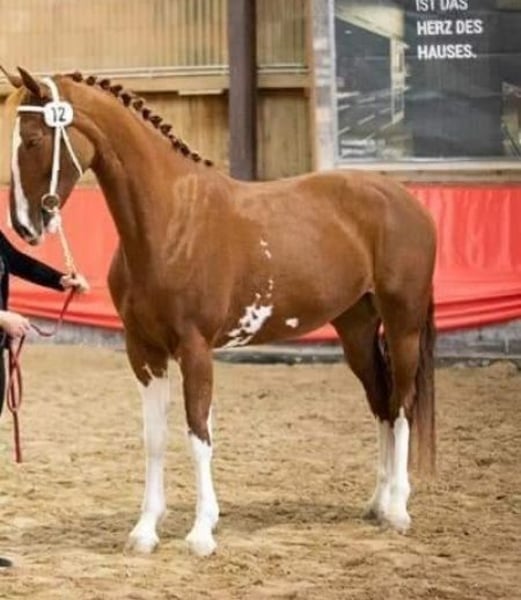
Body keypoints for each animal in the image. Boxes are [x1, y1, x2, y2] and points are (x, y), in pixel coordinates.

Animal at [1, 66, 436, 557]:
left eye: (33, 140)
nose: (23, 226)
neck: (171, 222)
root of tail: (405, 199)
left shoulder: (195, 350)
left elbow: (198, 433)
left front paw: (201, 533)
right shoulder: (143, 352)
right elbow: (154, 438)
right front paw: (145, 530)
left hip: (403, 325)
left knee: (402, 404)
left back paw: (398, 509)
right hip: (356, 329)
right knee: (380, 403)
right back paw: (377, 504)